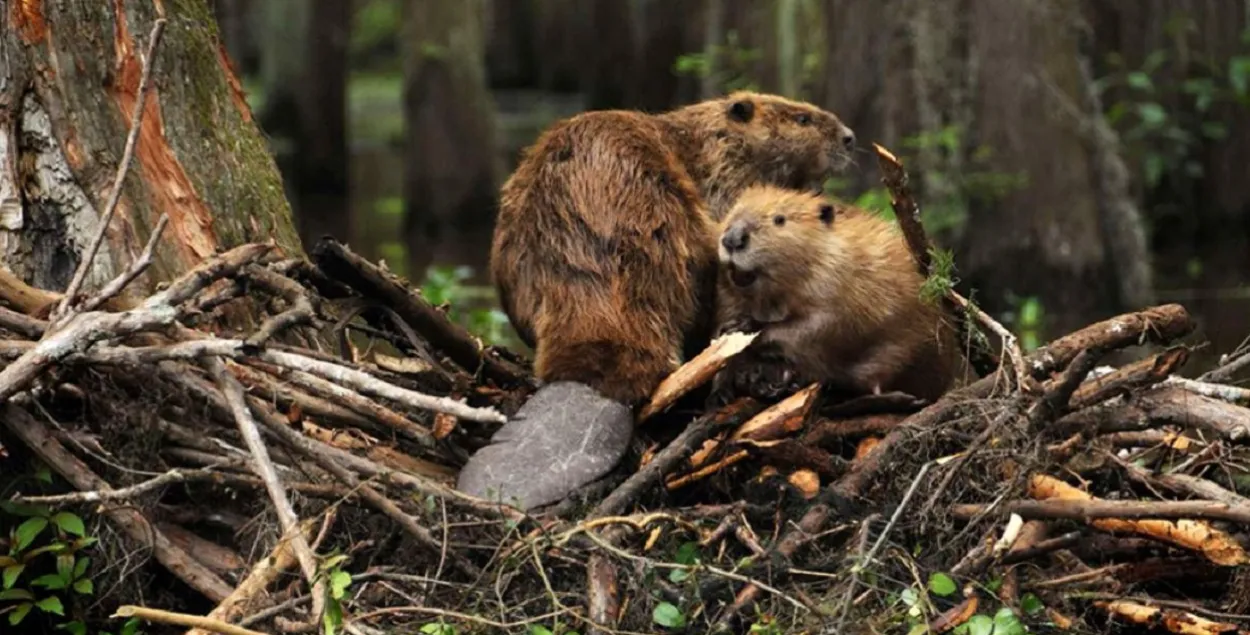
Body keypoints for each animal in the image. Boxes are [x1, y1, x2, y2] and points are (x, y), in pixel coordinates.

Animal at [715, 185, 965, 402]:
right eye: (731, 213)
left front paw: (746, 327)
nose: (733, 239)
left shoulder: (839, 284)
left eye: (779, 219)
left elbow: (819, 326)